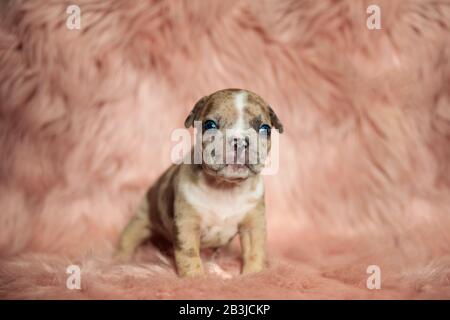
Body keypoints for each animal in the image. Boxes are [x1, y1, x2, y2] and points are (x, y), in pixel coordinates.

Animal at [118, 89, 284, 276]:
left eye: (265, 129)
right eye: (209, 125)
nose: (240, 140)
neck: (225, 187)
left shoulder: (253, 226)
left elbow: (255, 253)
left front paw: (253, 275)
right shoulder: (187, 225)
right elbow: (189, 257)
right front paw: (196, 278)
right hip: (142, 218)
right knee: (129, 238)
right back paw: (119, 260)